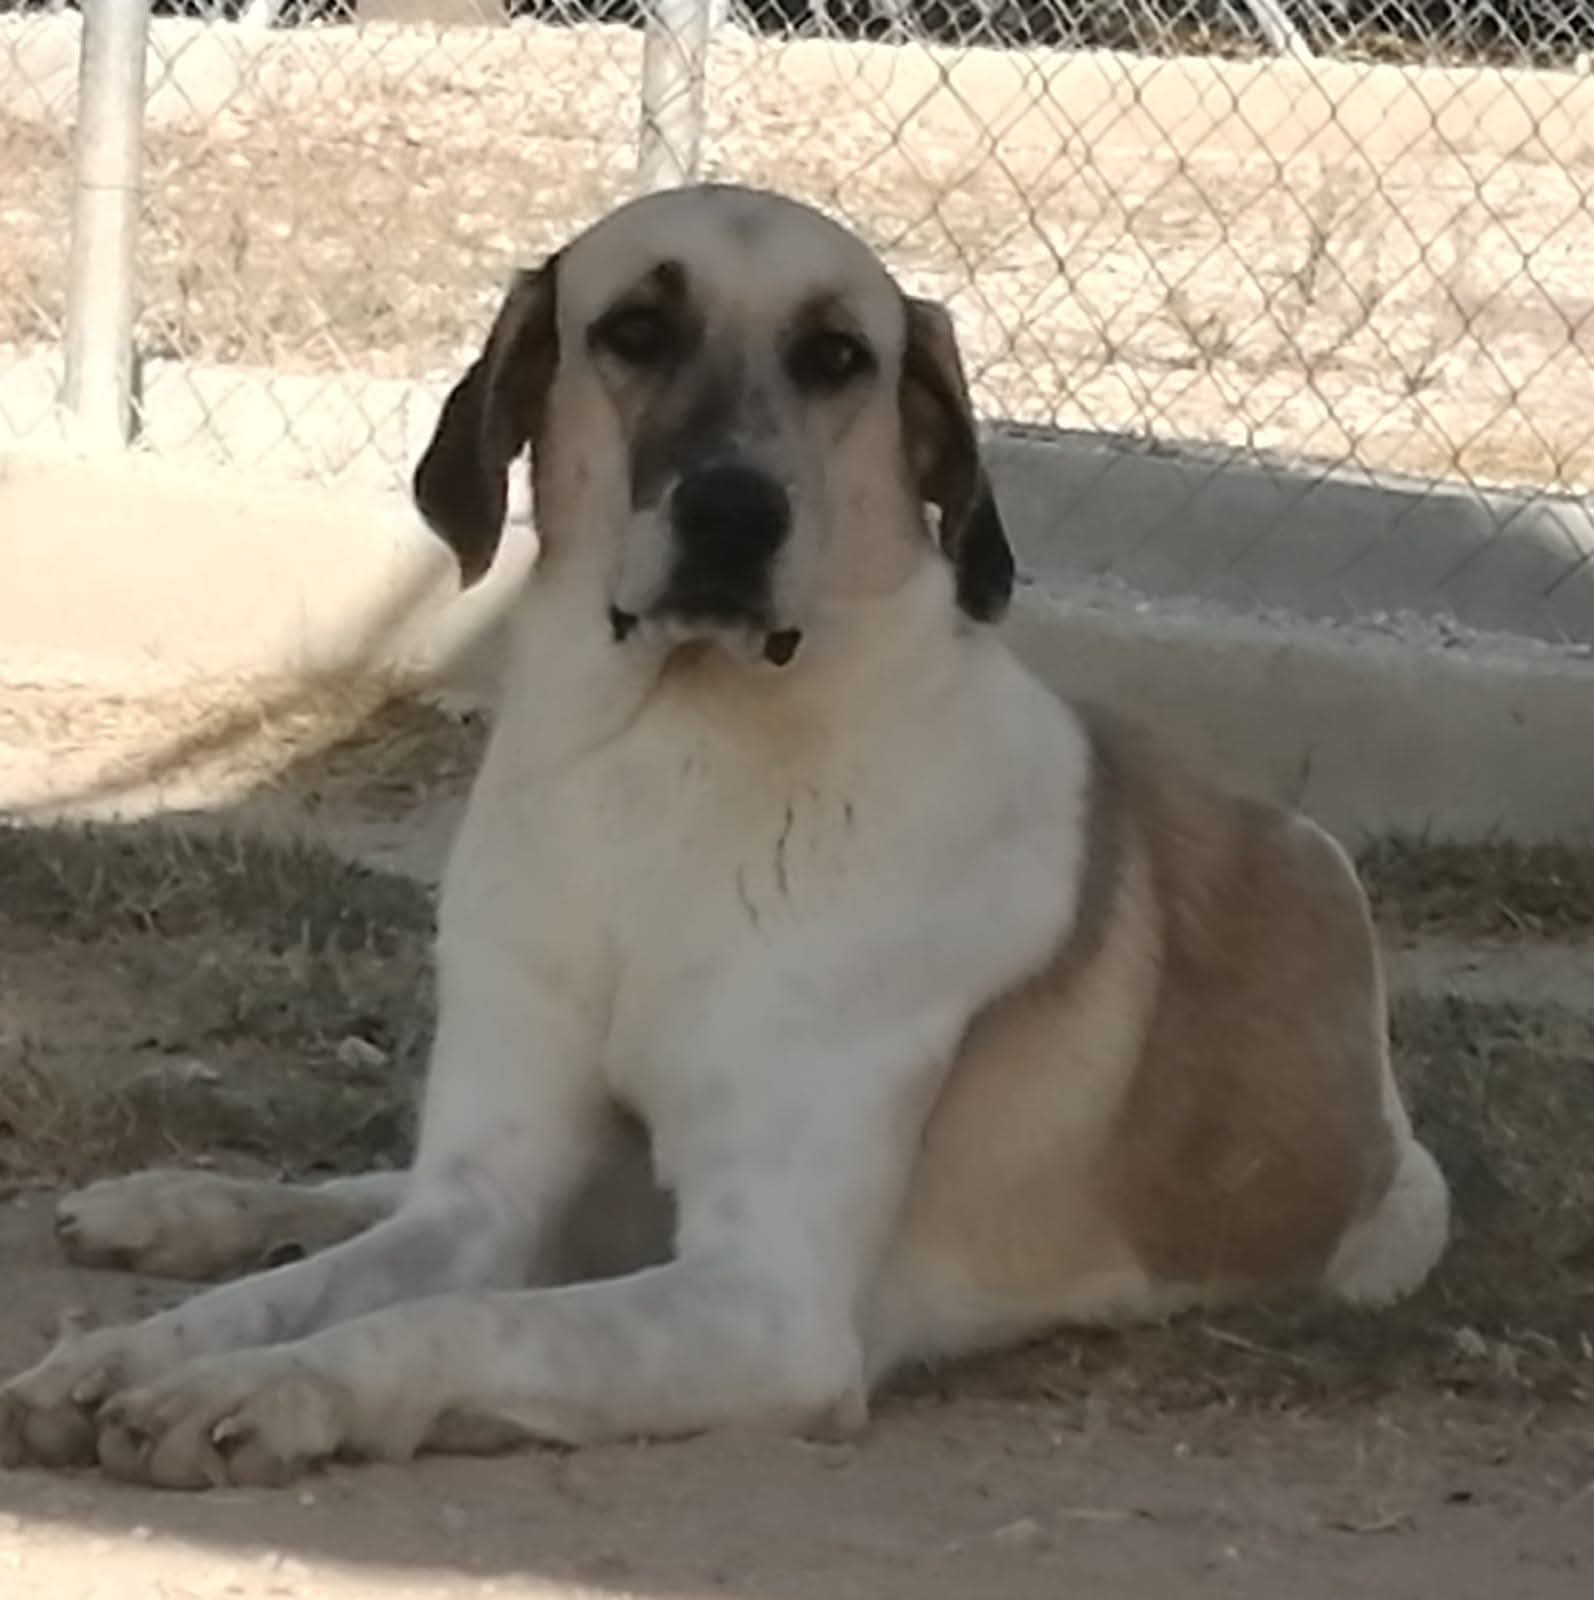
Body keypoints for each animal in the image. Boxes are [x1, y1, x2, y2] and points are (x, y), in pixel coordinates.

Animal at [0, 183, 1448, 1489]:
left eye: (837, 355)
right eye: (634, 330)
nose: (735, 514)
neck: (669, 774)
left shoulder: (765, 1303)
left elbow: (452, 1321)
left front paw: (261, 1392)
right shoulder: (489, 1195)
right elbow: (337, 1277)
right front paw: (141, 1349)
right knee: (370, 1199)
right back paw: (173, 1204)